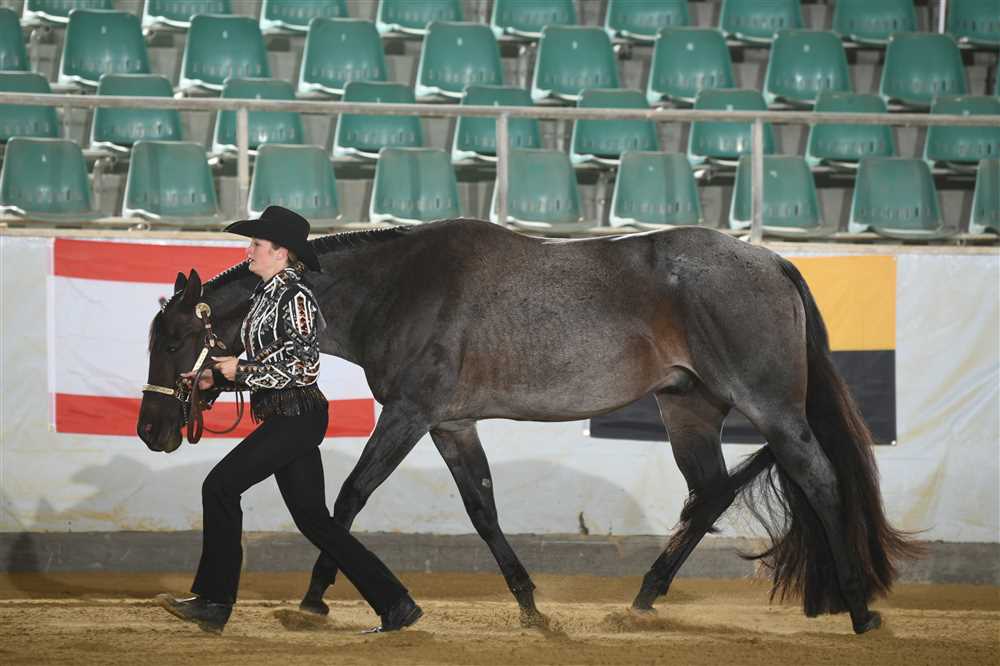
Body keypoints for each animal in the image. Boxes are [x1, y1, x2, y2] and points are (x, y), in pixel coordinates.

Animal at [137, 219, 915, 634]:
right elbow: (482, 510)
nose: (152, 430)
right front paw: (532, 607)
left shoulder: (410, 414)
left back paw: (858, 610)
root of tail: (773, 260)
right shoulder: (453, 425)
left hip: (771, 407)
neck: (403, 287)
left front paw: (314, 599)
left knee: (818, 477)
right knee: (711, 494)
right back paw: (642, 600)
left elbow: (347, 500)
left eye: (174, 340)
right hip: (688, 409)